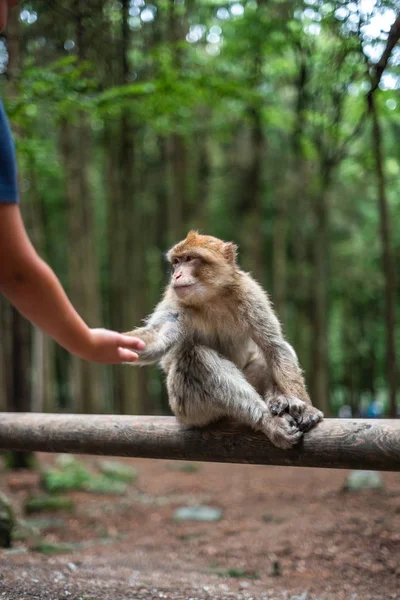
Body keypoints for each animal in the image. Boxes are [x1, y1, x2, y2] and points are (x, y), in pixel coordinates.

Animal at [126, 232, 324, 448]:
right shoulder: (175, 300)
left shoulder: (250, 293)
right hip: (187, 408)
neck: (211, 297)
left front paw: (305, 407)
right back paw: (268, 420)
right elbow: (157, 337)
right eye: (176, 262)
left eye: (189, 259)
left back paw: (280, 400)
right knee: (196, 357)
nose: (176, 275)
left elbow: (274, 347)